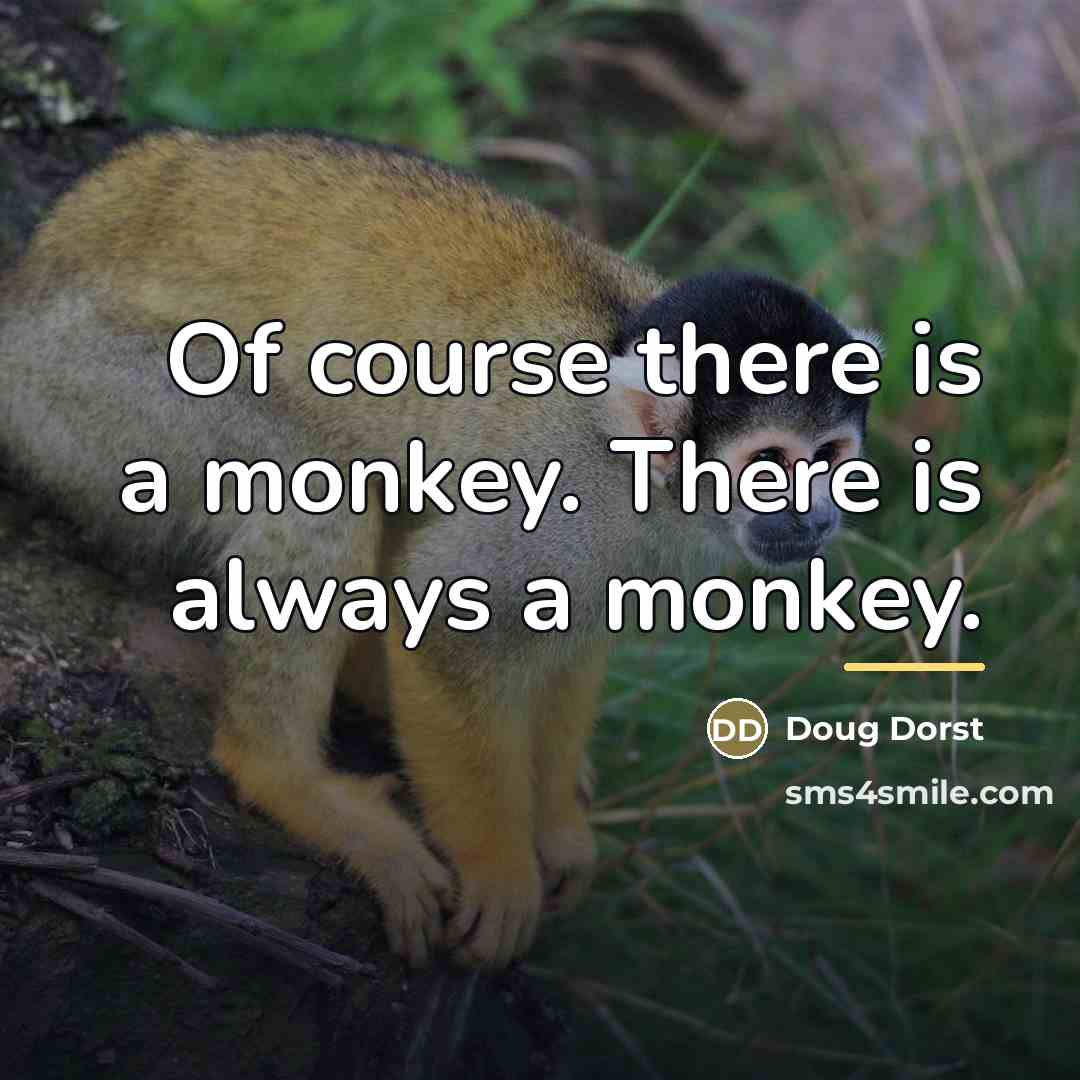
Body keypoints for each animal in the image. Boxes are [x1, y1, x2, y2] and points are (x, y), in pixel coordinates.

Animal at [0, 130, 871, 970]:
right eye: (769, 463)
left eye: (827, 455)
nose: (817, 517)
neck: (649, 477)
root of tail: (27, 288)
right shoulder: (561, 494)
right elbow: (449, 624)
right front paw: (500, 869)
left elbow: (573, 634)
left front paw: (557, 824)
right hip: (95, 402)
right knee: (316, 483)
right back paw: (285, 775)